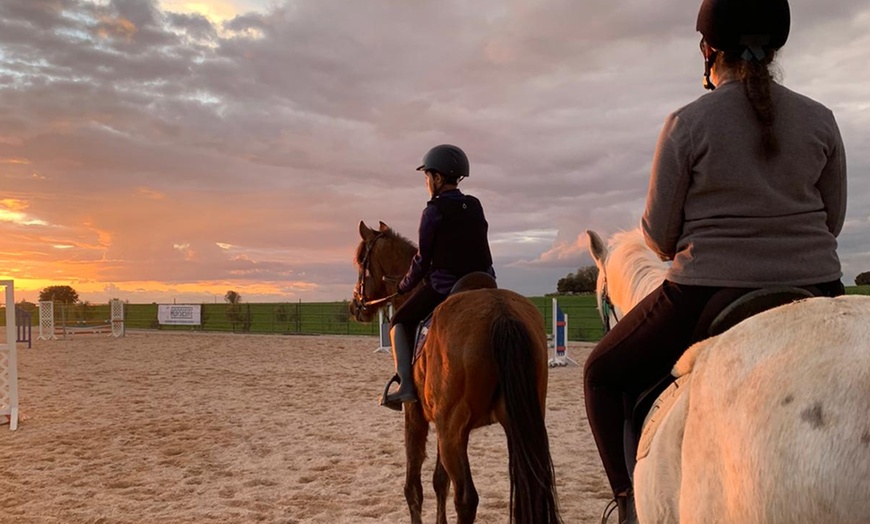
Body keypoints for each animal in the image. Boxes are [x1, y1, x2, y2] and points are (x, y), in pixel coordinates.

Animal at [354, 221, 564, 524]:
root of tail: (502, 314)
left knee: (466, 499)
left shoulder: (416, 415)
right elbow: (439, 480)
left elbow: (413, 486)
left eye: (361, 260)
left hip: (453, 431)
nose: (356, 306)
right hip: (516, 424)